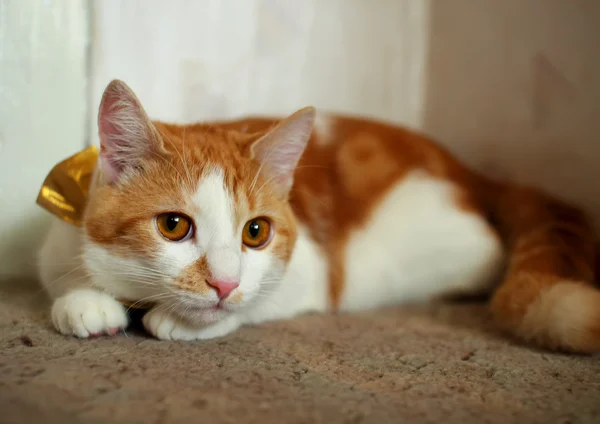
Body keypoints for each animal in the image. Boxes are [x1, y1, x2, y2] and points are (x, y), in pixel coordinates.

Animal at [38, 79, 600, 352]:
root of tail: (465, 168)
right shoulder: (57, 233)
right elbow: (61, 271)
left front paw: (181, 321)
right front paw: (84, 300)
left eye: (256, 232)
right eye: (173, 226)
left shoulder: (315, 269)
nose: (224, 283)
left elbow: (259, 300)